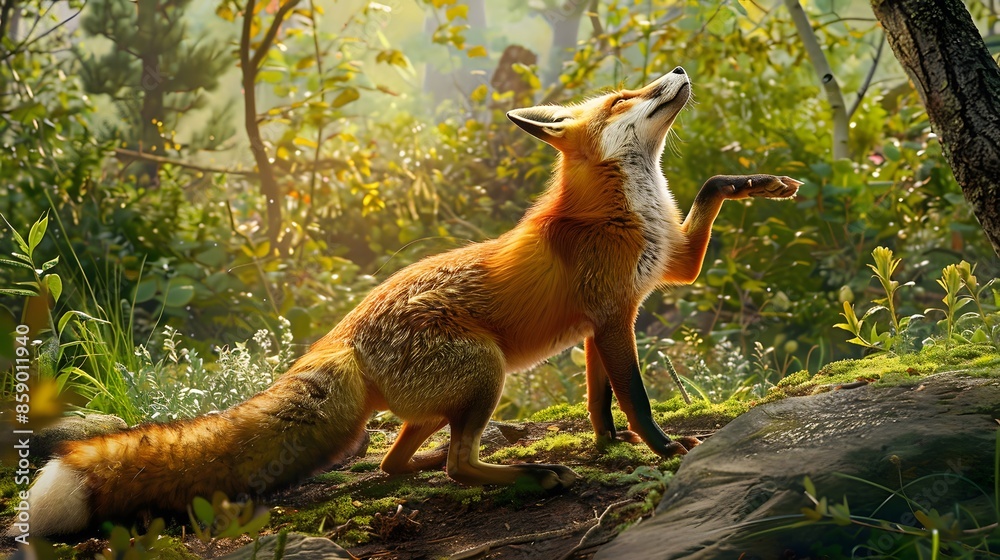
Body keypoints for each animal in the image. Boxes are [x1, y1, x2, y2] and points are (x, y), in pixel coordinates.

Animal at [17, 66, 799, 536]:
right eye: (622, 99)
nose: (677, 73)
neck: (627, 206)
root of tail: (344, 334)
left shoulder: (652, 284)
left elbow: (599, 396)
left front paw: (762, 182)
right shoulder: (614, 316)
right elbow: (633, 395)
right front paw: (662, 449)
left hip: (449, 395)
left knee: (400, 461)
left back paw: (435, 466)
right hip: (486, 370)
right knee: (457, 463)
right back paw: (528, 474)